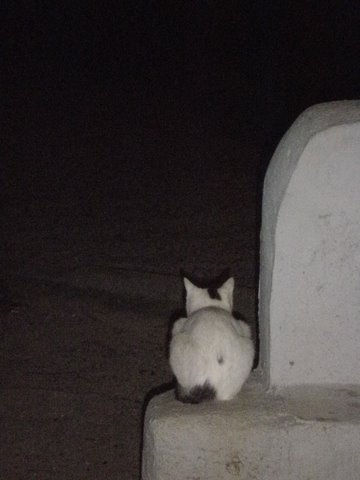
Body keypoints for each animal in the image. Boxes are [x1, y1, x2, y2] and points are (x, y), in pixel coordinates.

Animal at [170, 276, 255, 404]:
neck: (212, 307)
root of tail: (209, 382)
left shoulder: (179, 324)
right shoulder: (244, 327)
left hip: (176, 342)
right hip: (248, 346)